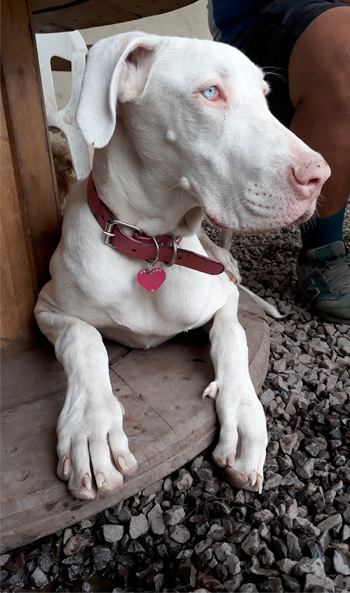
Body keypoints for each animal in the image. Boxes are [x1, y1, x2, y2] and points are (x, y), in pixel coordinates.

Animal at [35, 30, 330, 498]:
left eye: (265, 97)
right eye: (210, 92)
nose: (321, 176)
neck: (151, 247)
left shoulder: (222, 300)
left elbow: (231, 336)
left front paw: (244, 415)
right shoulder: (47, 308)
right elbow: (85, 339)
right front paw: (91, 426)